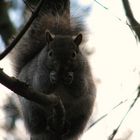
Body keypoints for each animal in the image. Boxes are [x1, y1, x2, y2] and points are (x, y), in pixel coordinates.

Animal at [9, 5, 95, 140]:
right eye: (50, 53)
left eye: (74, 54)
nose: (61, 68)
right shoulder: (38, 72)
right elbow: (42, 86)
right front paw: (53, 76)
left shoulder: (84, 73)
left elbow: (80, 88)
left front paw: (70, 77)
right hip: (31, 109)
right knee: (38, 124)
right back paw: (46, 125)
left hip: (83, 112)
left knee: (74, 127)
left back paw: (67, 128)